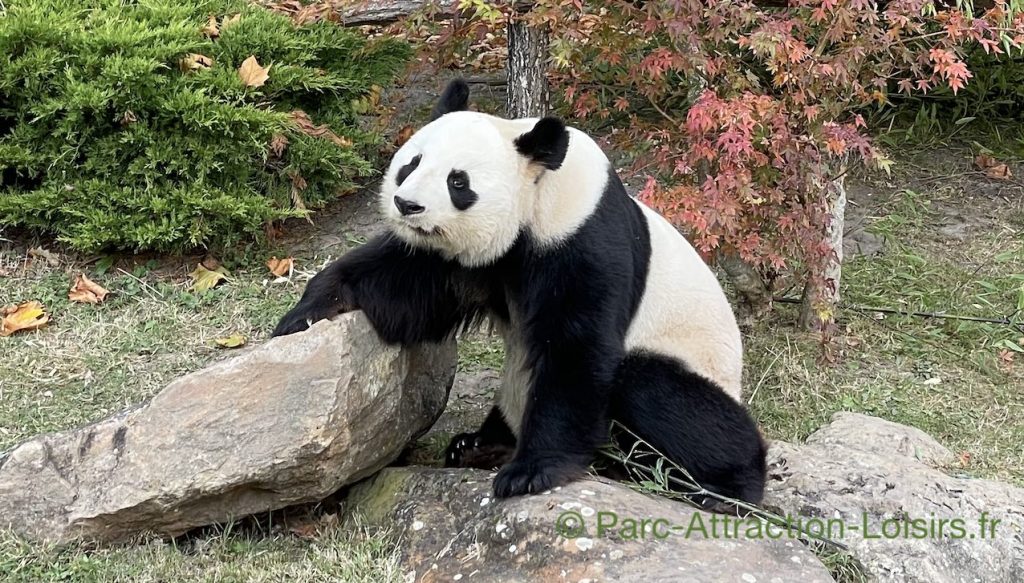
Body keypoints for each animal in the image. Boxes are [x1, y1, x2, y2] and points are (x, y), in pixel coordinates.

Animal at [272, 79, 770, 502]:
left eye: (458, 181)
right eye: (411, 164)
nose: (406, 205)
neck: (538, 191)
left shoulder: (583, 236)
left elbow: (575, 348)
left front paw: (532, 472)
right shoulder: (463, 260)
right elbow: (405, 289)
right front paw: (306, 313)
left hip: (698, 363)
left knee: (660, 393)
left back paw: (723, 487)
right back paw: (478, 446)